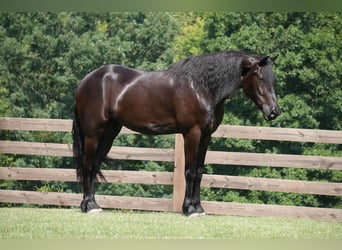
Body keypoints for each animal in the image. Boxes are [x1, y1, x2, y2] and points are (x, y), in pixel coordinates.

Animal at [73, 50, 280, 217]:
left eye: (273, 80)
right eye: (260, 78)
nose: (274, 111)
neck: (201, 88)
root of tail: (86, 80)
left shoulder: (206, 136)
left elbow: (199, 172)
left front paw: (199, 208)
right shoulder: (192, 133)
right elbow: (189, 171)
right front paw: (189, 209)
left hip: (110, 132)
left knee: (95, 165)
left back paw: (94, 204)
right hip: (93, 134)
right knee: (87, 164)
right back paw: (88, 206)